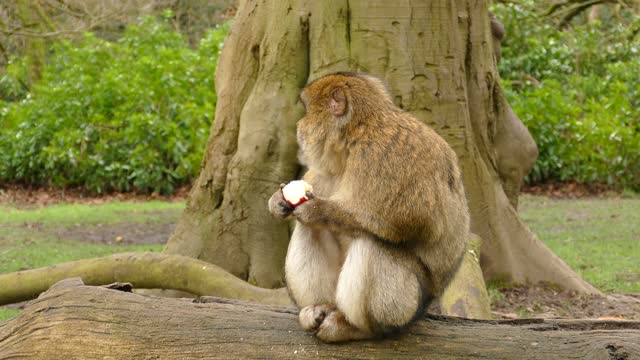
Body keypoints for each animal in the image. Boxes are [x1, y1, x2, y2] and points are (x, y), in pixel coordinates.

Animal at [266, 71, 470, 344]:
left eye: (307, 111)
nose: (299, 127)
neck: (356, 135)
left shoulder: (384, 154)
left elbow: (411, 219)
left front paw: (317, 210)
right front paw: (278, 201)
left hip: (406, 307)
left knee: (373, 243)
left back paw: (357, 328)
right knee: (310, 229)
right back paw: (320, 307)